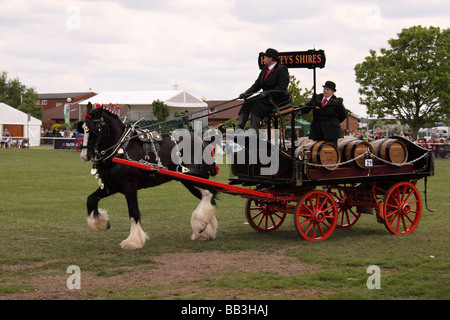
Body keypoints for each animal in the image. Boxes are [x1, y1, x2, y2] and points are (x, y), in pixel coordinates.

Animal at [80, 103, 219, 250]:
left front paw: (133, 241)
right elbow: (91, 200)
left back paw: (200, 223)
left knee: (210, 192)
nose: (84, 155)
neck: (120, 149)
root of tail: (202, 142)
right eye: (83, 128)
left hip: (192, 178)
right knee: (209, 198)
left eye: (97, 128)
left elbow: (133, 212)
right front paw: (102, 223)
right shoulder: (110, 186)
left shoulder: (130, 187)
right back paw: (205, 231)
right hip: (188, 181)